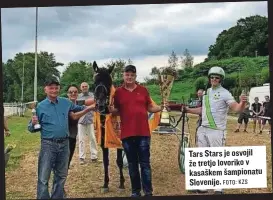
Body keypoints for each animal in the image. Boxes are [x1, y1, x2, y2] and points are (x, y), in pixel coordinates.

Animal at [91, 60, 125, 192]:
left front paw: (121, 183)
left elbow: (119, 161)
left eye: (108, 82)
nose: (100, 105)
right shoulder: (103, 139)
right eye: (95, 82)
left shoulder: (120, 139)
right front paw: (105, 184)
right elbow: (106, 161)